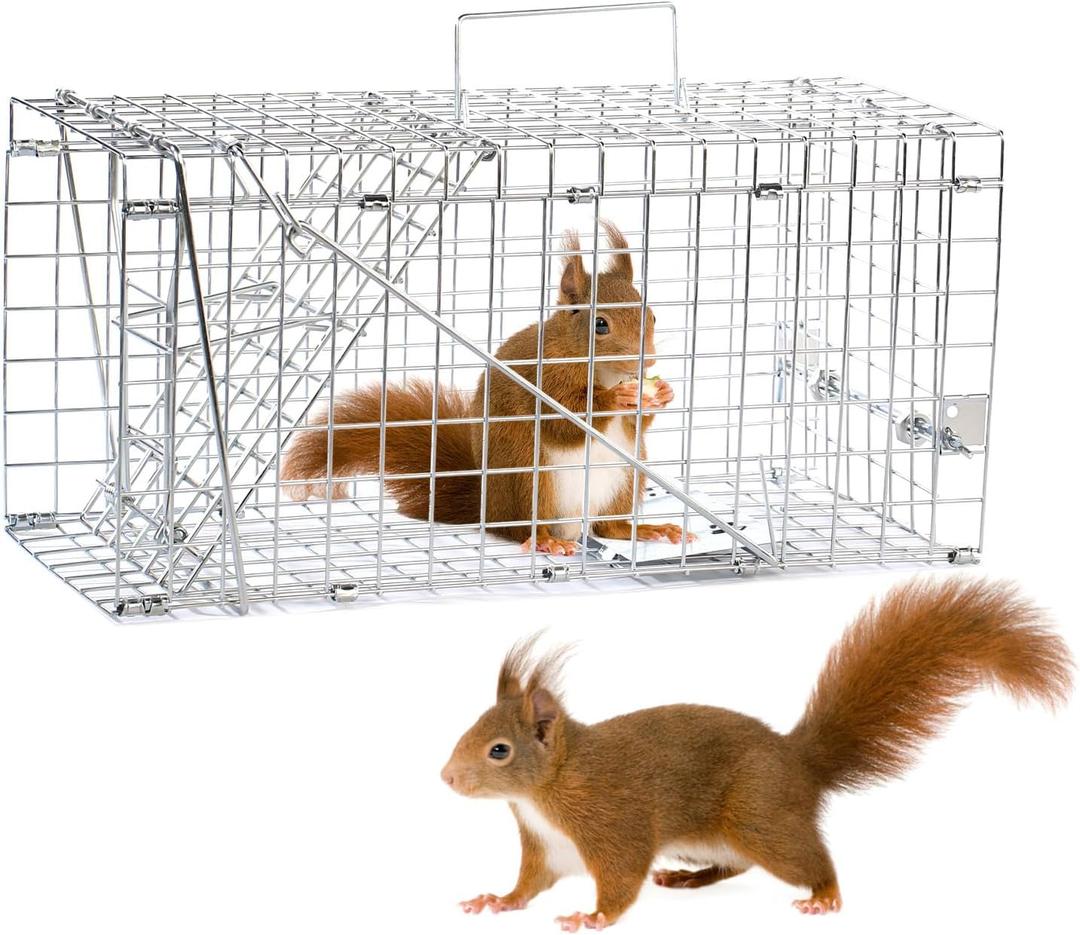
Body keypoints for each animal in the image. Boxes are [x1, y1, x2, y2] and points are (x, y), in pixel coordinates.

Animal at [280, 221, 692, 555]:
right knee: (518, 528)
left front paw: (662, 394)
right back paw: (545, 540)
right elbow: (565, 422)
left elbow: (636, 424)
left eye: (652, 314)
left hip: (627, 478)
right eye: (601, 324)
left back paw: (648, 530)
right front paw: (614, 398)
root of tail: (485, 507)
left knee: (609, 527)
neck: (603, 371)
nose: (646, 363)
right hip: (529, 478)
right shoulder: (543, 379)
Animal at [440, 577, 1073, 931]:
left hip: (760, 818)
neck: (546, 792)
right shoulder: (547, 847)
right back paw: (689, 880)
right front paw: (497, 900)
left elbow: (620, 880)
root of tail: (799, 761)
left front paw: (591, 916)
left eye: (499, 750)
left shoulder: (612, 822)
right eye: (470, 728)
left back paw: (824, 897)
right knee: (735, 864)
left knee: (809, 861)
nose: (446, 778)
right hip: (718, 836)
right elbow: (530, 883)